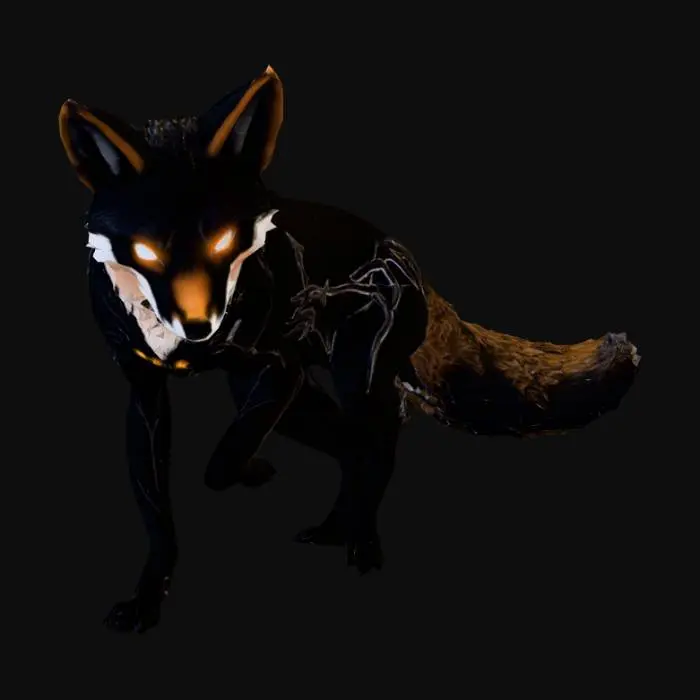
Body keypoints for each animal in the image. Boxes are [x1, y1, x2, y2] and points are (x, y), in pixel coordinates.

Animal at [59, 65, 640, 634]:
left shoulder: (281, 370)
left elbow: (217, 467)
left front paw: (241, 473)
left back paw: (362, 540)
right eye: (147, 251)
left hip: (346, 378)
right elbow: (159, 515)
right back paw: (336, 524)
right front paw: (145, 600)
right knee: (352, 442)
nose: (200, 328)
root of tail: (407, 257)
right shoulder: (147, 392)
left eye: (223, 242)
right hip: (283, 394)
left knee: (374, 440)